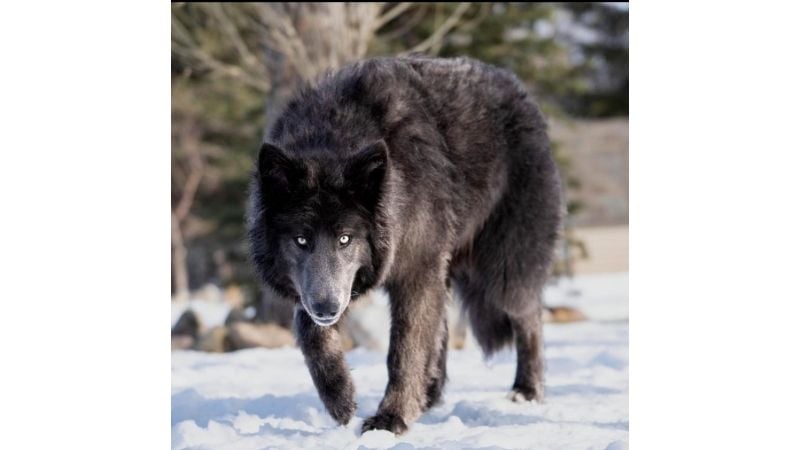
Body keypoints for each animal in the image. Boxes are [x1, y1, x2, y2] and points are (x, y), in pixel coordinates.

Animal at [248, 54, 564, 434]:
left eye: (345, 239)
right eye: (301, 240)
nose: (327, 308)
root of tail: (515, 87)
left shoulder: (415, 272)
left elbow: (405, 350)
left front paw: (391, 418)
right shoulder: (326, 289)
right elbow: (308, 330)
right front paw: (340, 397)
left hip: (503, 272)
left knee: (529, 316)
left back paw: (526, 391)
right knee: (442, 333)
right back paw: (428, 397)